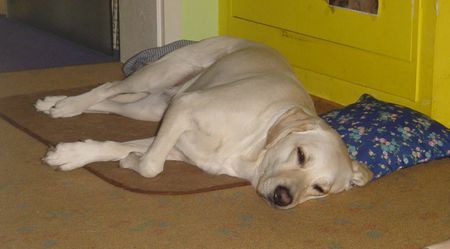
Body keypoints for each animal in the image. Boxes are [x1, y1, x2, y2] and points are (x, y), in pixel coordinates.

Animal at [36, 36, 372, 208]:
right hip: (163, 76)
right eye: (301, 155)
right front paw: (131, 161)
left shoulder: (174, 140)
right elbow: (152, 166)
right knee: (108, 87)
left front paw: (73, 155)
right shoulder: (185, 107)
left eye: (319, 188)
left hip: (153, 108)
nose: (283, 198)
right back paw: (67, 105)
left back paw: (55, 103)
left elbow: (130, 153)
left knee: (112, 103)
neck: (253, 146)